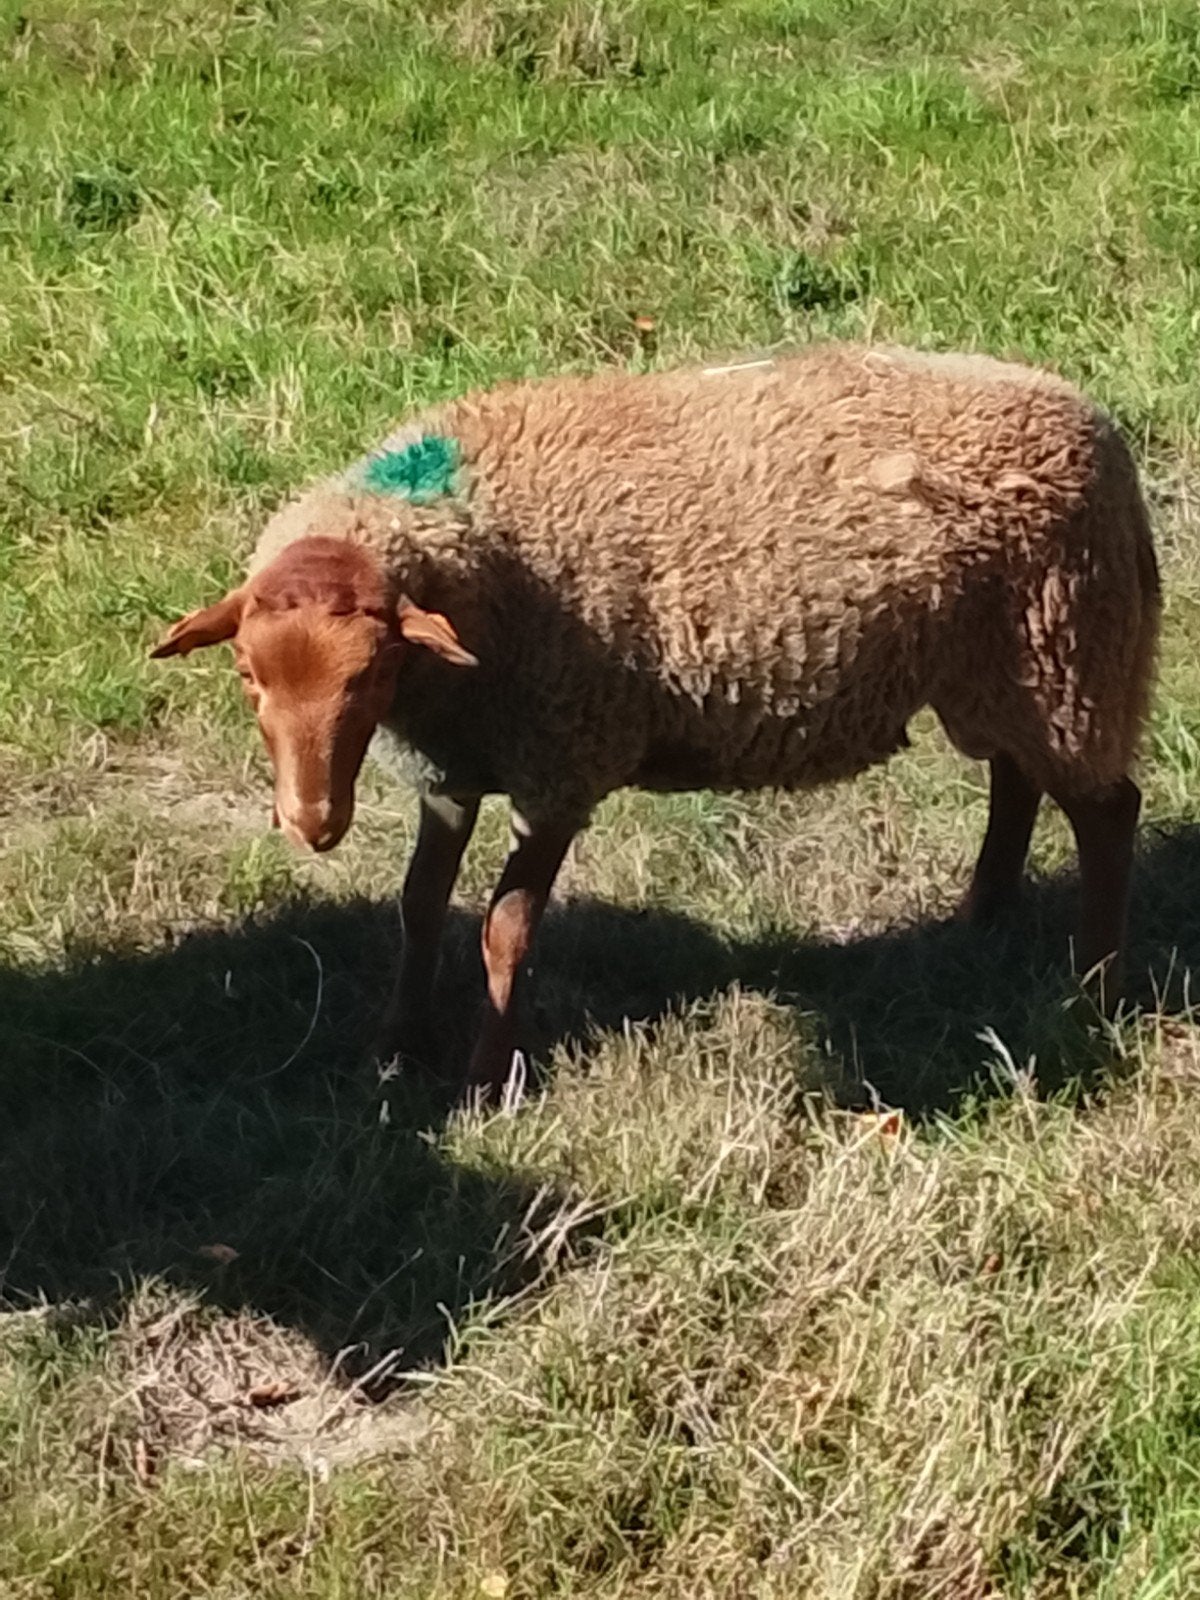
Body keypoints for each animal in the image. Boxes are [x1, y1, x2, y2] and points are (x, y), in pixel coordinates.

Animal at [151, 343, 1161, 1097]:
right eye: (247, 675)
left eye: (372, 674)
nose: (313, 823)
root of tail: (1094, 419)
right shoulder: (453, 766)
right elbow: (419, 905)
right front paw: (396, 1051)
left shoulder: (561, 762)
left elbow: (505, 930)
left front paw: (486, 1078)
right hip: (1006, 668)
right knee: (1017, 778)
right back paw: (982, 915)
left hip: (1066, 646)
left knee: (1107, 811)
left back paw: (1095, 988)